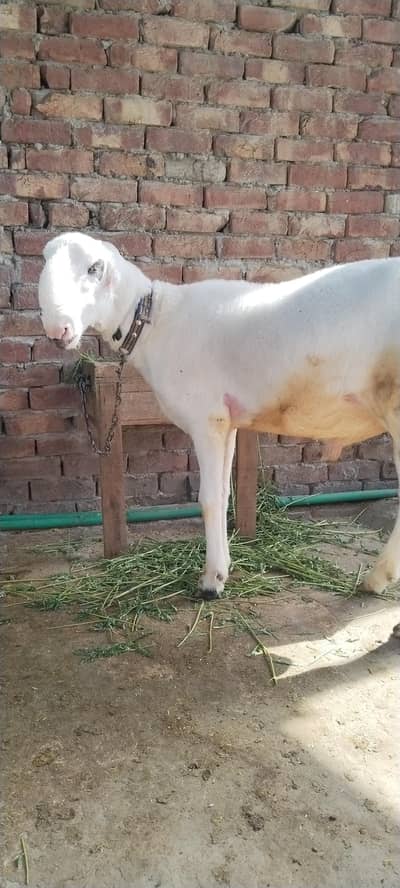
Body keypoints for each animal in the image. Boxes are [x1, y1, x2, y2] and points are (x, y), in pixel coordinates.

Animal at [38, 232, 400, 600]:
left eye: (94, 268)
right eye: (46, 262)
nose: (57, 329)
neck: (157, 323)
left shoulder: (206, 419)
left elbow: (209, 499)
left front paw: (211, 581)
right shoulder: (226, 422)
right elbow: (225, 495)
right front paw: (224, 566)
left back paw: (377, 579)